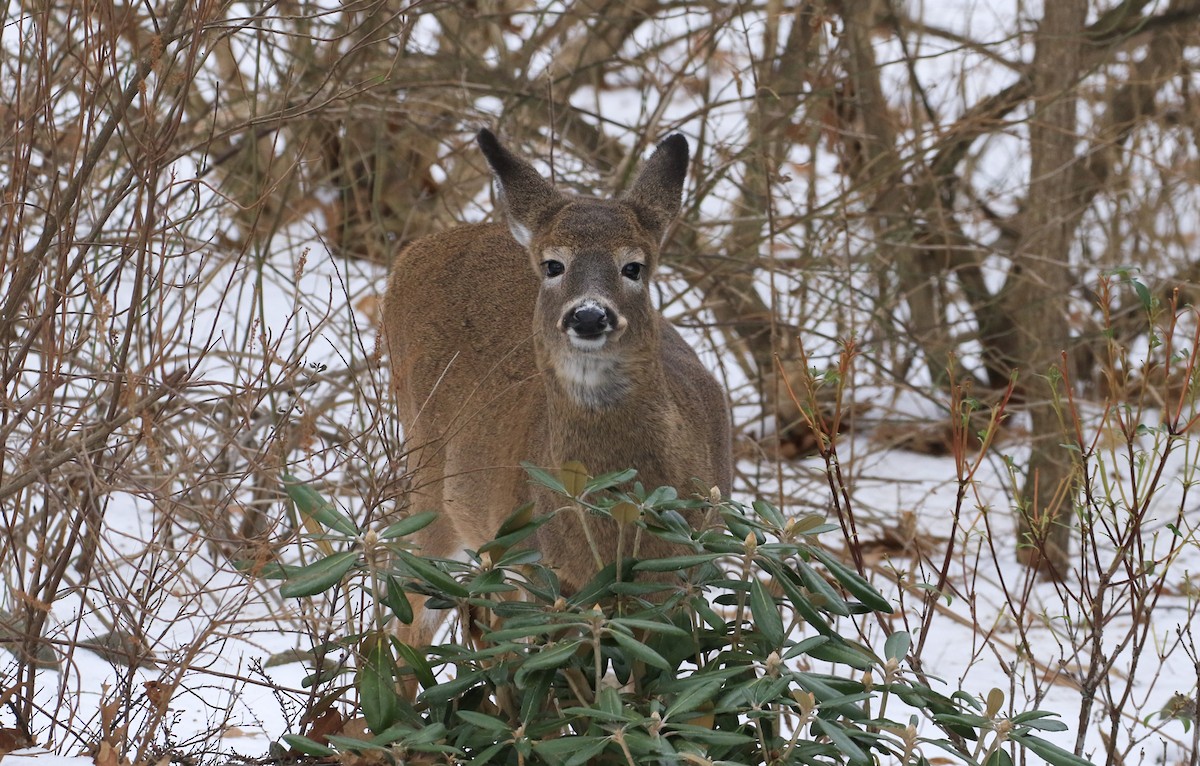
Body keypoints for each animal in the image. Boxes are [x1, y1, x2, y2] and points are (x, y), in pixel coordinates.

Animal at [384, 128, 732, 650]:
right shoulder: (539, 572)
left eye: (634, 266)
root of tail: (416, 251)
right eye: (553, 265)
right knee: (413, 620)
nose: (589, 315)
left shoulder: (681, 582)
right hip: (430, 476)